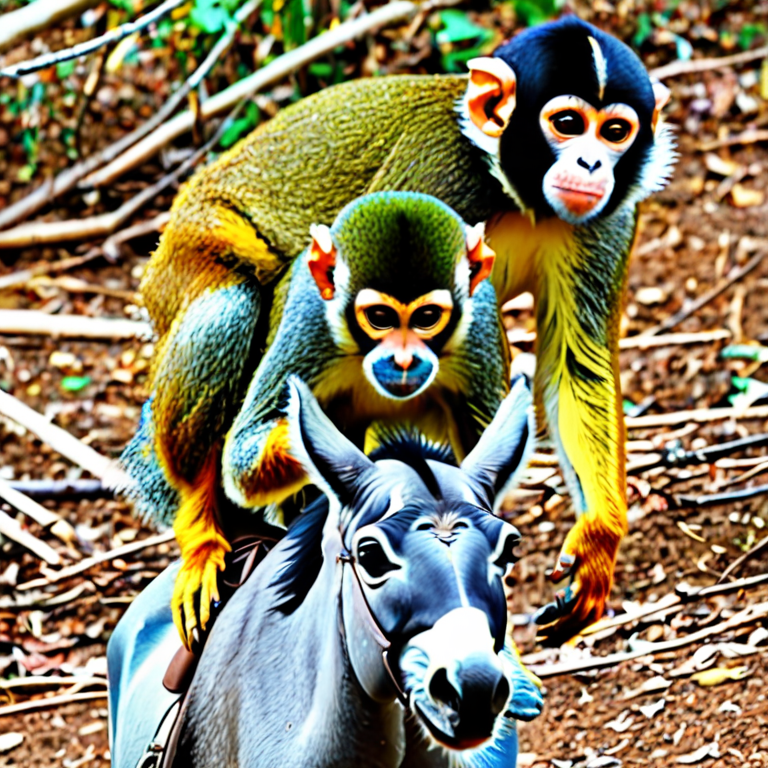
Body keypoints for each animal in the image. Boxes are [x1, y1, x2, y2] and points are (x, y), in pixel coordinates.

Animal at [124, 191, 508, 645]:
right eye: (380, 319)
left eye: (427, 318)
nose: (403, 360)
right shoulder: (310, 323)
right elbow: (244, 460)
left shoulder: (479, 327)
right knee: (230, 307)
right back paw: (201, 533)